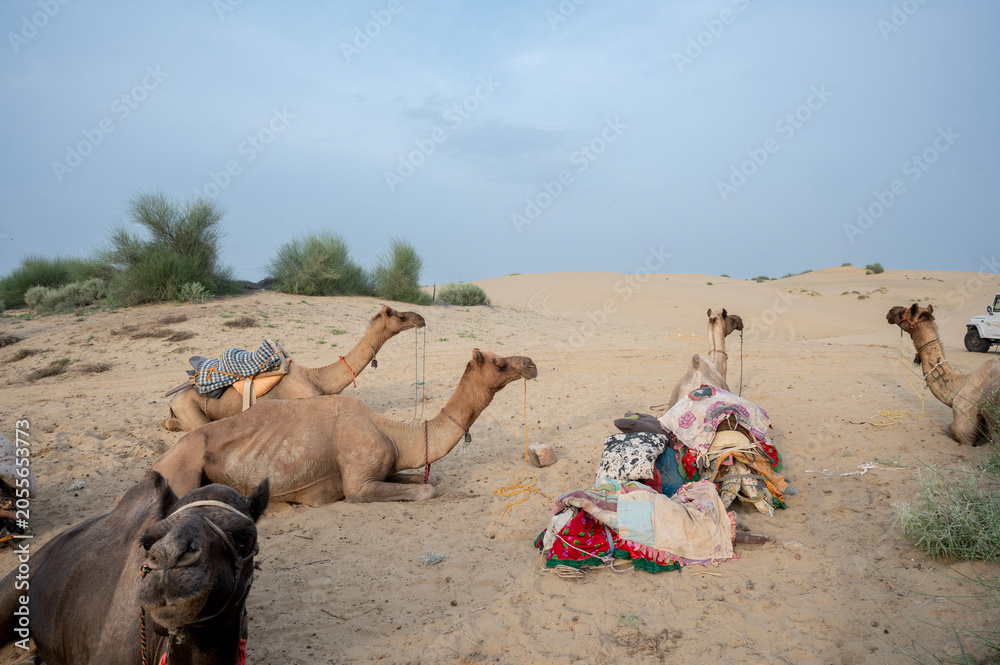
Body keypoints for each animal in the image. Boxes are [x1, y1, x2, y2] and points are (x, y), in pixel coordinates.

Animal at [151, 348, 538, 504]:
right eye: (499, 364)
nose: (531, 364)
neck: (394, 433)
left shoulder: (388, 468)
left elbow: (431, 478)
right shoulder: (359, 483)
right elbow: (428, 489)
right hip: (182, 468)